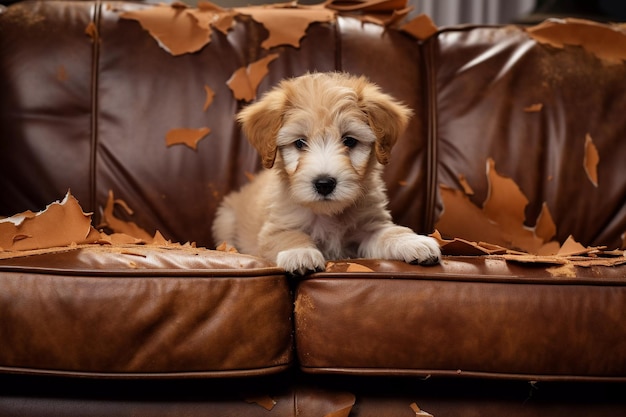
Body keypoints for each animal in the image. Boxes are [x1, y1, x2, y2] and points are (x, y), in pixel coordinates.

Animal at [212, 72, 442, 272]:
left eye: (349, 141)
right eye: (300, 143)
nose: (324, 184)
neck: (328, 214)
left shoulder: (370, 225)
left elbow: (389, 232)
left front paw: (413, 242)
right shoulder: (275, 228)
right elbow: (288, 236)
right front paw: (300, 253)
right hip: (225, 219)